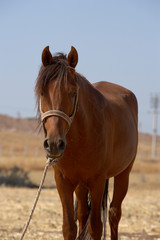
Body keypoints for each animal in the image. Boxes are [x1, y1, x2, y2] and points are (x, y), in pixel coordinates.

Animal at [35, 45, 138, 240]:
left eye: (73, 93)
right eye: (42, 93)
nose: (54, 144)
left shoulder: (97, 181)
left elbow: (96, 227)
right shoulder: (64, 181)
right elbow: (69, 227)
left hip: (123, 174)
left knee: (114, 214)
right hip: (81, 185)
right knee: (83, 214)